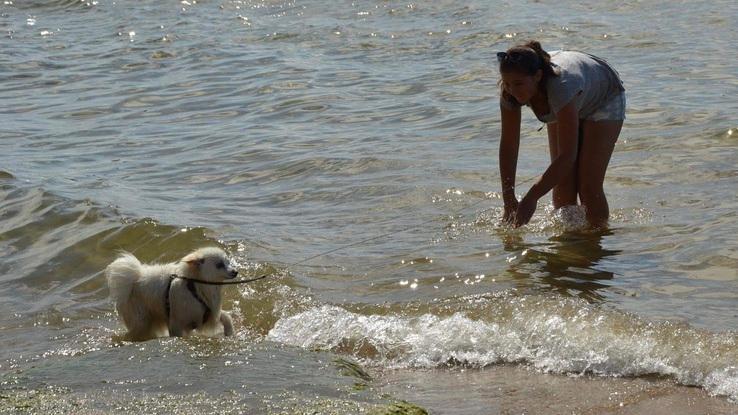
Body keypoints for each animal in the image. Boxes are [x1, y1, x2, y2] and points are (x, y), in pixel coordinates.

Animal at [105, 247, 236, 342]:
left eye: (228, 262)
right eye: (219, 265)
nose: (236, 272)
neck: (195, 287)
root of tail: (135, 279)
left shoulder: (209, 313)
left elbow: (226, 317)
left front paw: (229, 332)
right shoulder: (176, 323)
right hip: (141, 321)